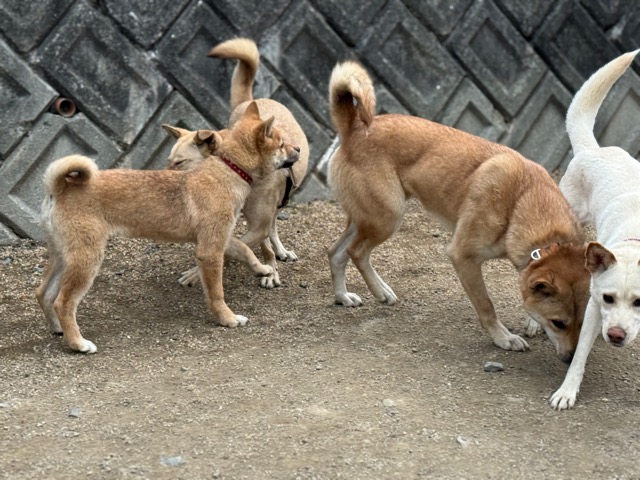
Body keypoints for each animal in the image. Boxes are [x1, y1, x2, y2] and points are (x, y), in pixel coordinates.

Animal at [36, 102, 300, 353]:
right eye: (281, 144)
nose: (298, 150)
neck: (226, 170)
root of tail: (59, 188)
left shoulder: (219, 238)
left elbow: (244, 250)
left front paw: (263, 270)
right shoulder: (210, 251)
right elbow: (217, 293)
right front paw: (228, 318)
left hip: (64, 257)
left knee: (43, 294)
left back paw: (58, 329)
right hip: (87, 260)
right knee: (63, 302)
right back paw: (78, 343)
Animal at [169, 37, 309, 289]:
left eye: (180, 162)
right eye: (170, 161)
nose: (297, 149)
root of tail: (252, 100)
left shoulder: (258, 222)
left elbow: (239, 245)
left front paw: (269, 271)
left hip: (277, 204)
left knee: (273, 225)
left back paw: (279, 252)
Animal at [327, 61, 590, 359]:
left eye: (583, 323)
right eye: (559, 323)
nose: (571, 359)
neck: (521, 199)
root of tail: (354, 128)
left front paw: (531, 323)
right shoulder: (463, 257)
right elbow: (487, 306)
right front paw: (504, 338)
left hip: (367, 218)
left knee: (336, 253)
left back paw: (343, 296)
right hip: (388, 217)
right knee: (356, 252)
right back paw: (380, 292)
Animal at [550, 50, 640, 410]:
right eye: (608, 297)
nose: (615, 336)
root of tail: (594, 149)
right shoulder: (592, 306)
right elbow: (579, 358)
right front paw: (566, 392)